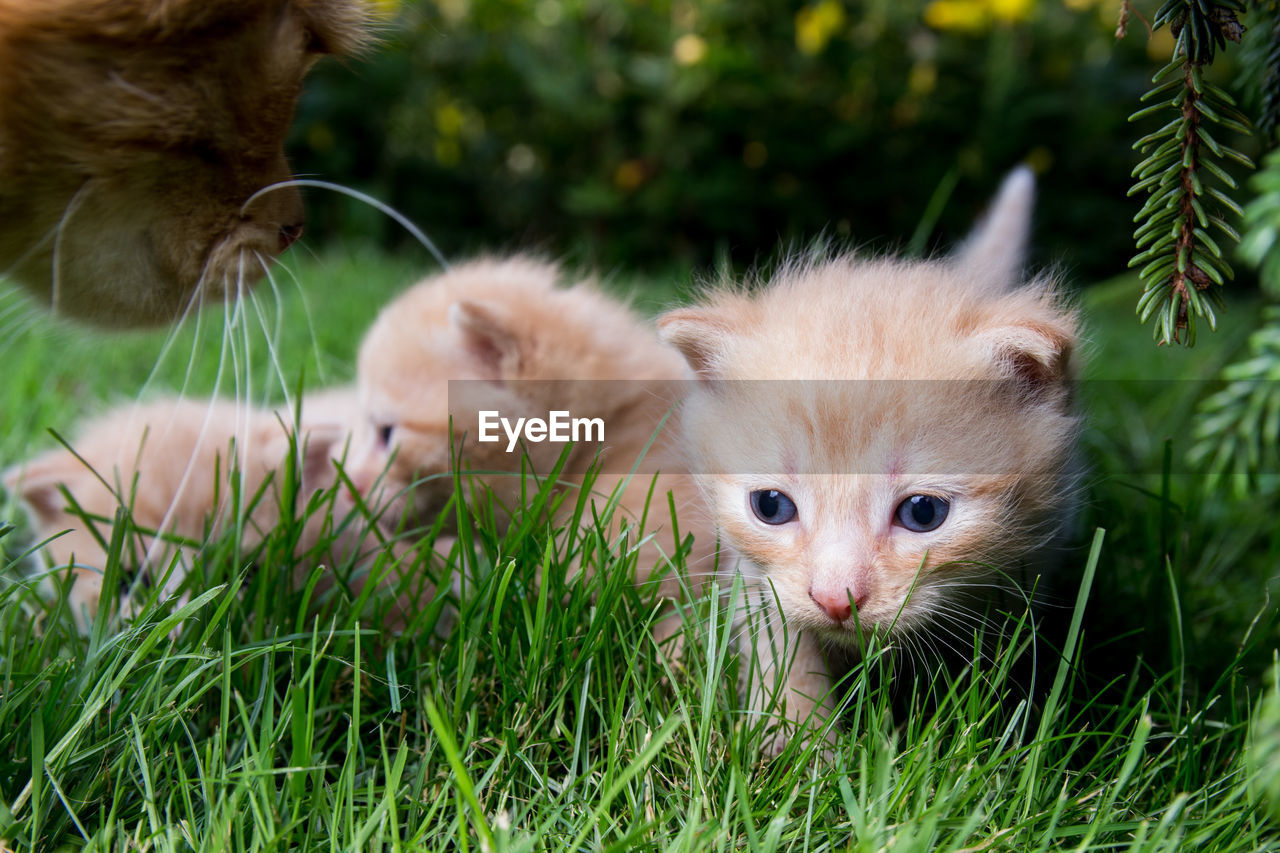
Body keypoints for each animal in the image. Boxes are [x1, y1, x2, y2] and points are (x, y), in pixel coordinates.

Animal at [655, 167, 1075, 753]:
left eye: (923, 513)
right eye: (771, 506)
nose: (837, 600)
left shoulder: (1032, 562)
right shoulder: (756, 575)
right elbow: (779, 642)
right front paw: (800, 741)